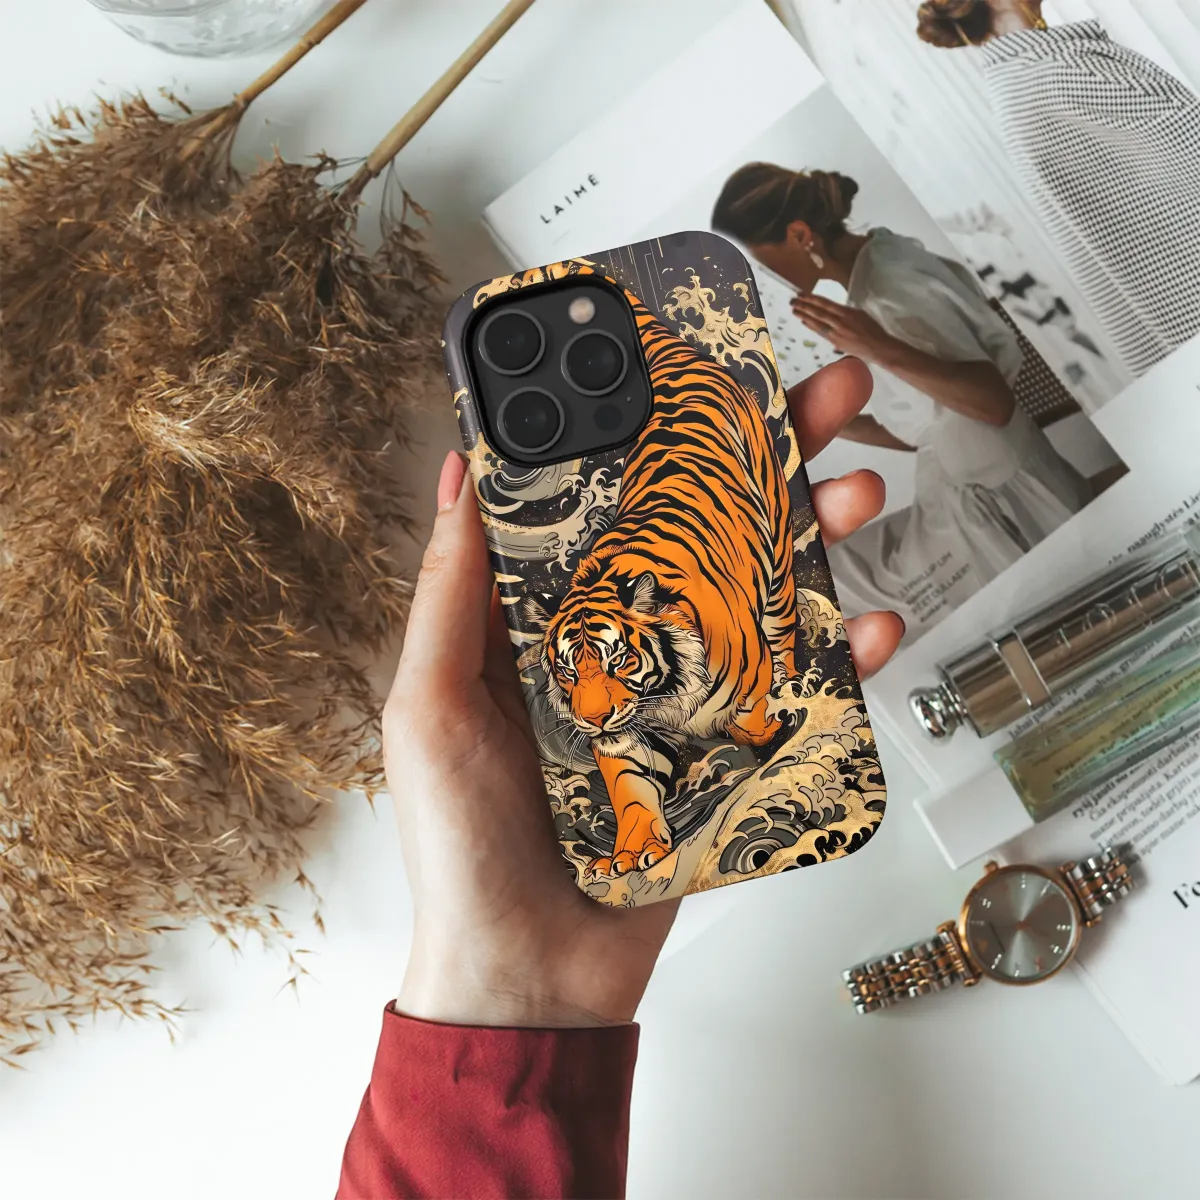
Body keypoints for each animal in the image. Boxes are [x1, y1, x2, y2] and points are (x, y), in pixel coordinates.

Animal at [526, 290, 803, 879]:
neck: (661, 697)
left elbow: (749, 717)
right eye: (567, 670)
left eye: (620, 662)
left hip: (778, 561)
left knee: (785, 636)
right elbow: (630, 787)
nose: (592, 718)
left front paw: (769, 730)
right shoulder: (625, 739)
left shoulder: (746, 675)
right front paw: (634, 852)